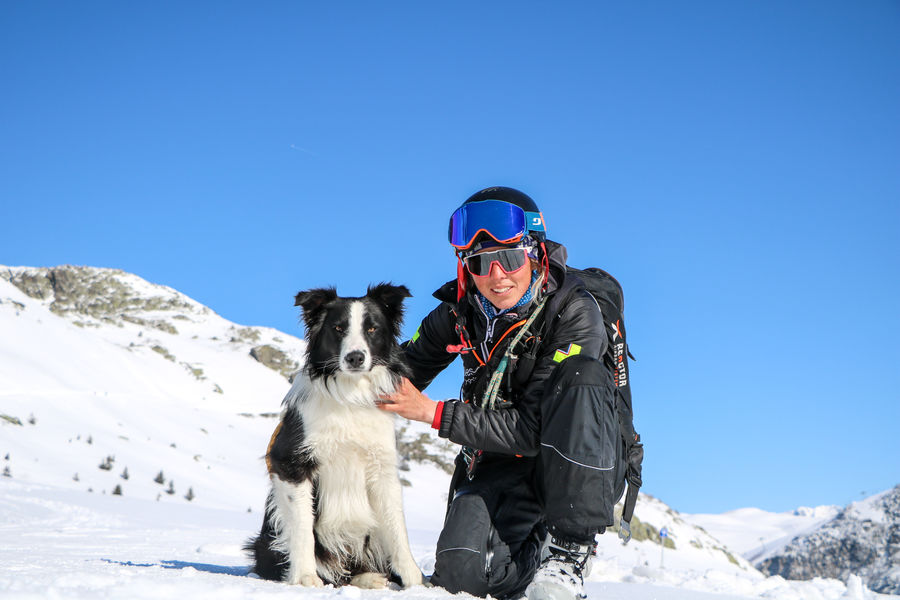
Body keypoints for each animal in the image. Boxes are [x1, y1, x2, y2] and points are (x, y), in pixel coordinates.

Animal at [244, 284, 424, 588]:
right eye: (338, 328)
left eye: (372, 329)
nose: (355, 357)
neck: (350, 395)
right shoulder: (292, 464)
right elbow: (303, 527)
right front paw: (305, 577)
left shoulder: (382, 468)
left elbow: (397, 527)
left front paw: (414, 580)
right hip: (269, 538)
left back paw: (372, 578)